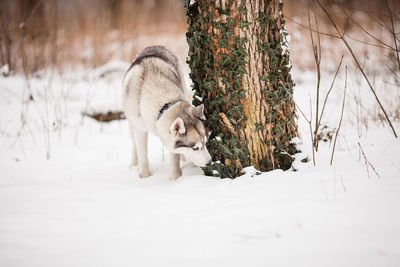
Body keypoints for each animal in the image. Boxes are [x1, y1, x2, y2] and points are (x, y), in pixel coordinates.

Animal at [122, 46, 212, 181]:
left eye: (205, 143)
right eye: (195, 148)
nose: (210, 162)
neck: (163, 105)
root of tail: (154, 46)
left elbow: (175, 158)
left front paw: (175, 179)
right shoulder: (140, 130)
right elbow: (143, 155)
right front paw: (144, 177)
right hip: (131, 123)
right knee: (134, 144)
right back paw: (133, 165)